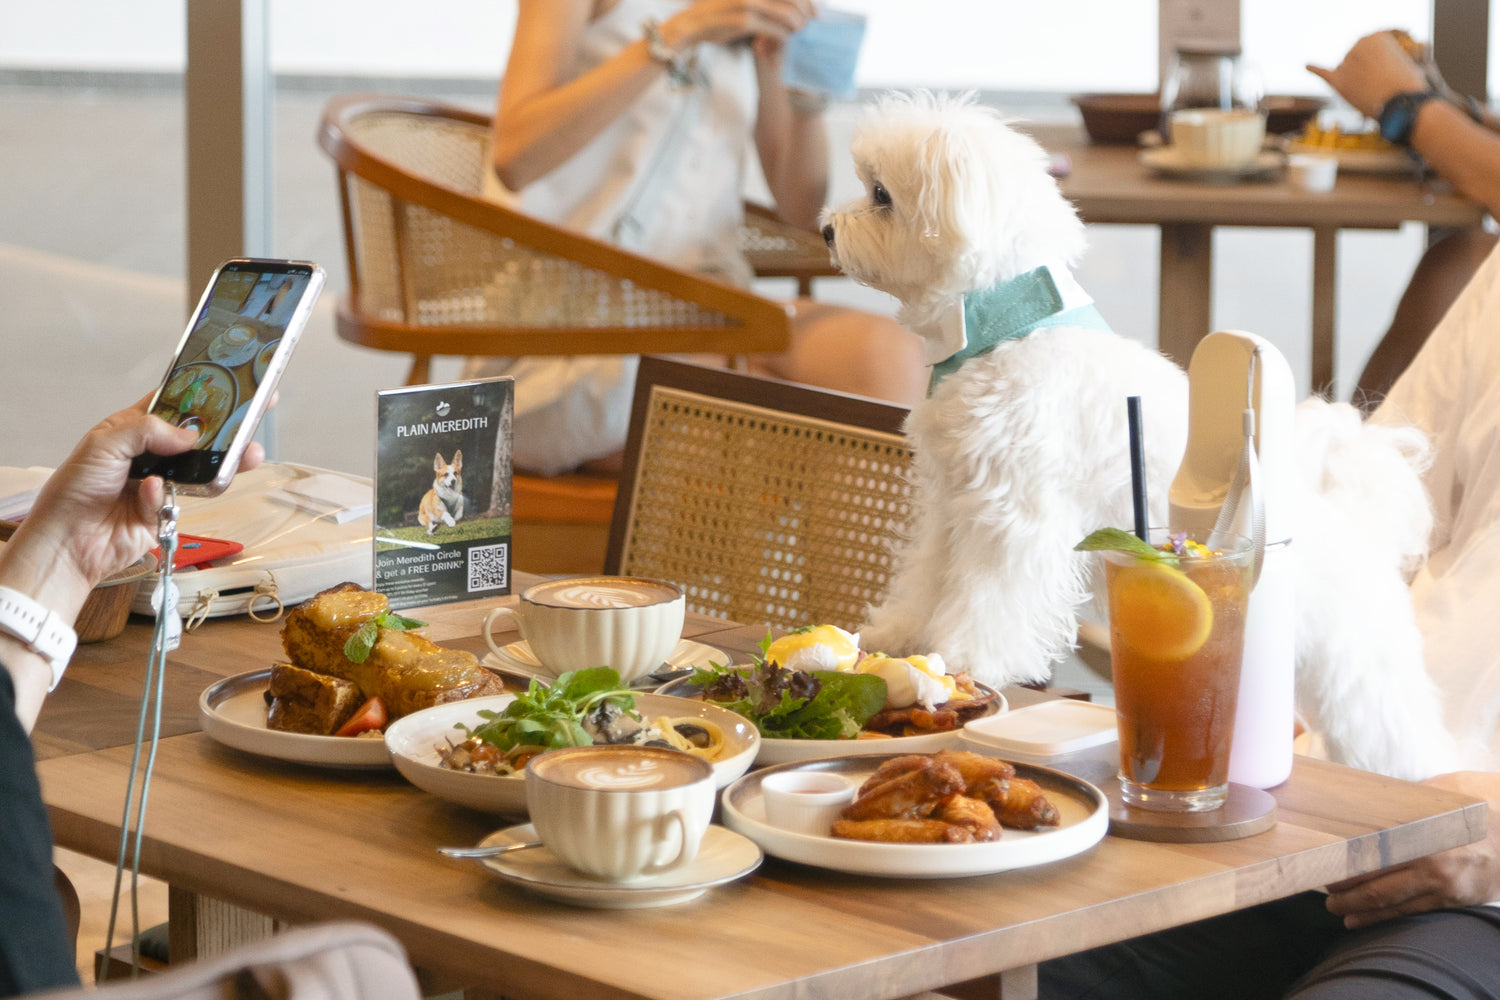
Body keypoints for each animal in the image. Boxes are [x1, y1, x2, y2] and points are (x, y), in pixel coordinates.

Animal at [828, 93, 1458, 779]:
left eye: (881, 194)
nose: (827, 229)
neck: (1005, 332)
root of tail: (1365, 533)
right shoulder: (952, 503)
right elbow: (925, 579)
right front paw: (900, 636)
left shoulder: (1012, 517)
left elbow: (991, 599)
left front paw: (968, 657)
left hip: (1362, 687)